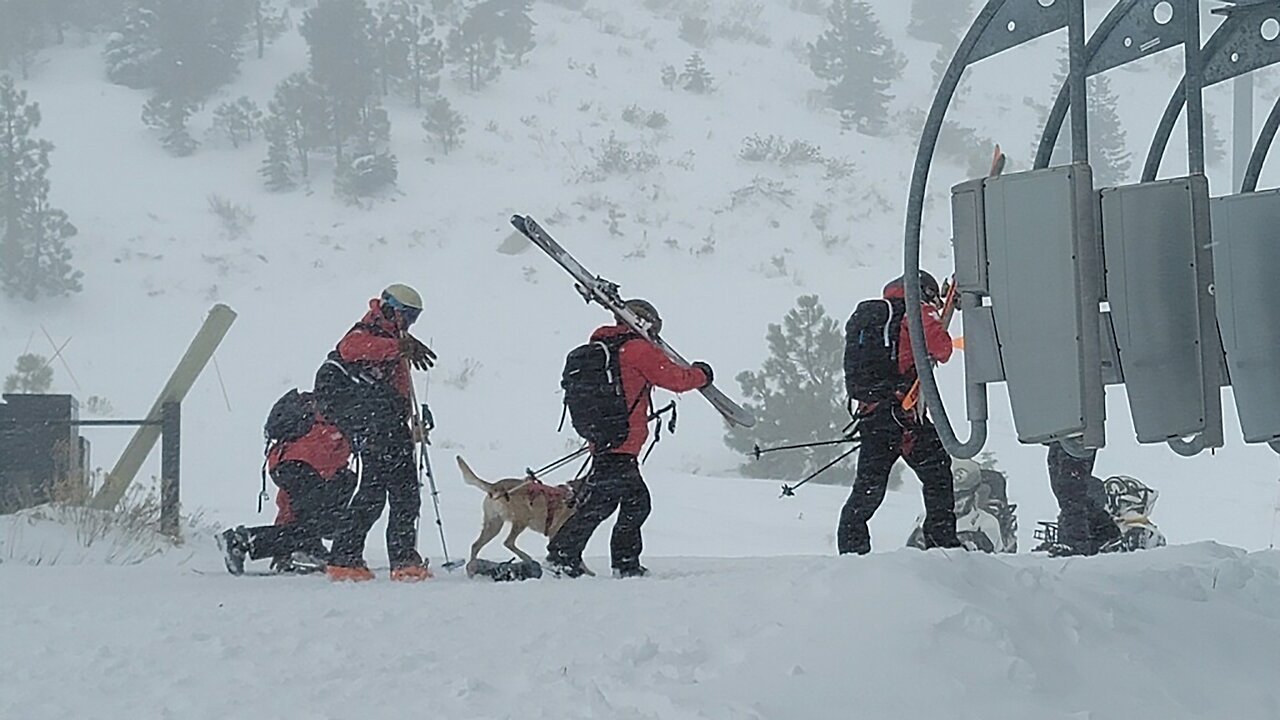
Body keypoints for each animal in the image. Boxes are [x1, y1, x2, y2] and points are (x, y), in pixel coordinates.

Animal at [455, 453, 586, 576]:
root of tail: (495, 486)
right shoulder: (556, 534)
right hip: (522, 520)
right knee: (508, 542)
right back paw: (527, 558)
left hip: (494, 525)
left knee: (476, 545)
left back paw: (472, 570)